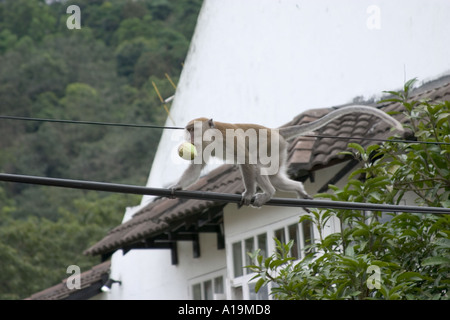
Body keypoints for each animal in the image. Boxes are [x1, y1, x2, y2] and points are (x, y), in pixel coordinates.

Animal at [171, 106, 404, 208]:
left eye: (193, 129)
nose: (189, 136)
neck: (212, 136)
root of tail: (277, 132)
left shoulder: (229, 139)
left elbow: (246, 161)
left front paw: (248, 192)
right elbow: (196, 167)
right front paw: (177, 187)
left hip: (272, 148)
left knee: (259, 167)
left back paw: (269, 193)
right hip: (280, 150)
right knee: (274, 177)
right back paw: (297, 189)